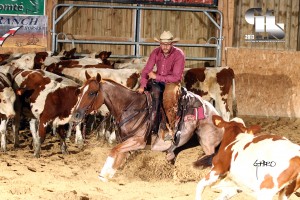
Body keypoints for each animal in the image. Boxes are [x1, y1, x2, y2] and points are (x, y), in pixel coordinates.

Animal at [71, 72, 224, 181]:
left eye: (92, 93)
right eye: (80, 91)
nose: (76, 114)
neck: (130, 107)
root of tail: (215, 113)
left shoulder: (138, 141)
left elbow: (114, 150)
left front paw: (103, 174)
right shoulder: (126, 142)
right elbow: (118, 156)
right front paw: (106, 175)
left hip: (207, 143)